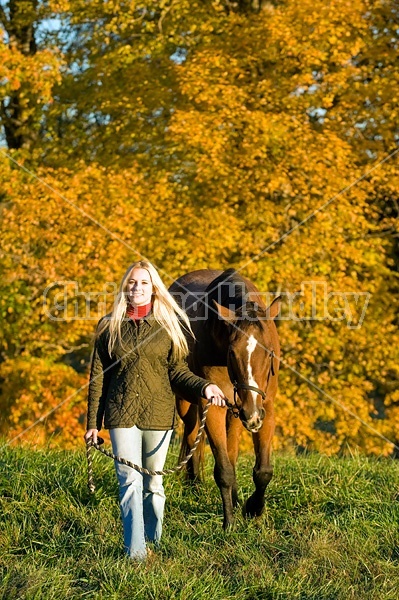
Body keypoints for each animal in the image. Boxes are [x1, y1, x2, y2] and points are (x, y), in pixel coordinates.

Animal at [170, 270, 282, 528]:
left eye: (270, 352)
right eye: (232, 352)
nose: (252, 412)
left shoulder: (265, 408)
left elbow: (263, 470)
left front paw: (254, 508)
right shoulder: (214, 408)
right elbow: (224, 470)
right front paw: (229, 523)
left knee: (231, 451)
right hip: (187, 404)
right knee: (191, 433)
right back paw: (194, 484)